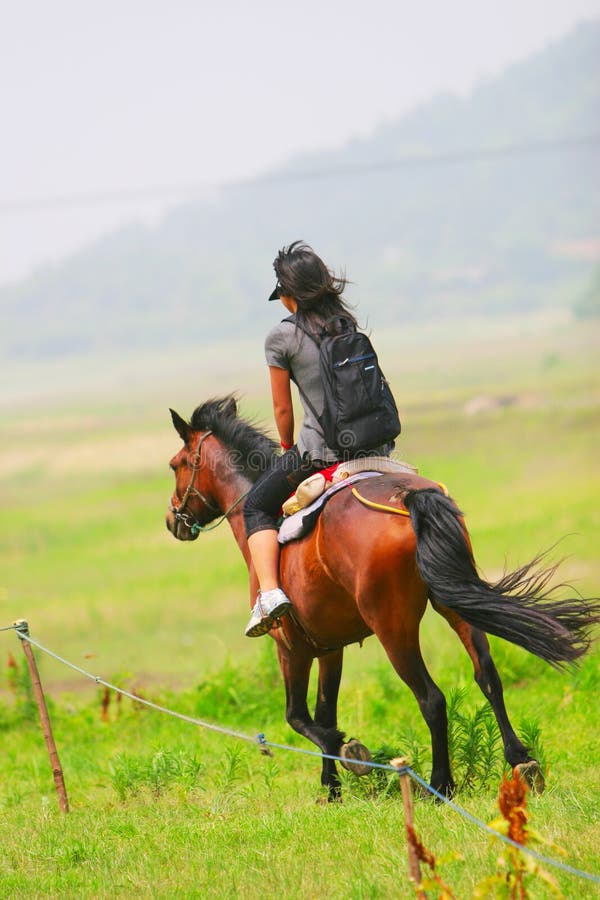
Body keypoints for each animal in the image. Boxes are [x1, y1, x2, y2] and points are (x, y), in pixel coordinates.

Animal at [165, 398, 600, 800]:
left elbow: (299, 717)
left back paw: (440, 786)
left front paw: (349, 754)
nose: (172, 521)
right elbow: (325, 712)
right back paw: (522, 763)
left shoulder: (291, 648)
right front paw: (332, 790)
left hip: (393, 628)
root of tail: (408, 497)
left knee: (431, 699)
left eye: (176, 465)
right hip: (455, 604)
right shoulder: (329, 648)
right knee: (488, 677)